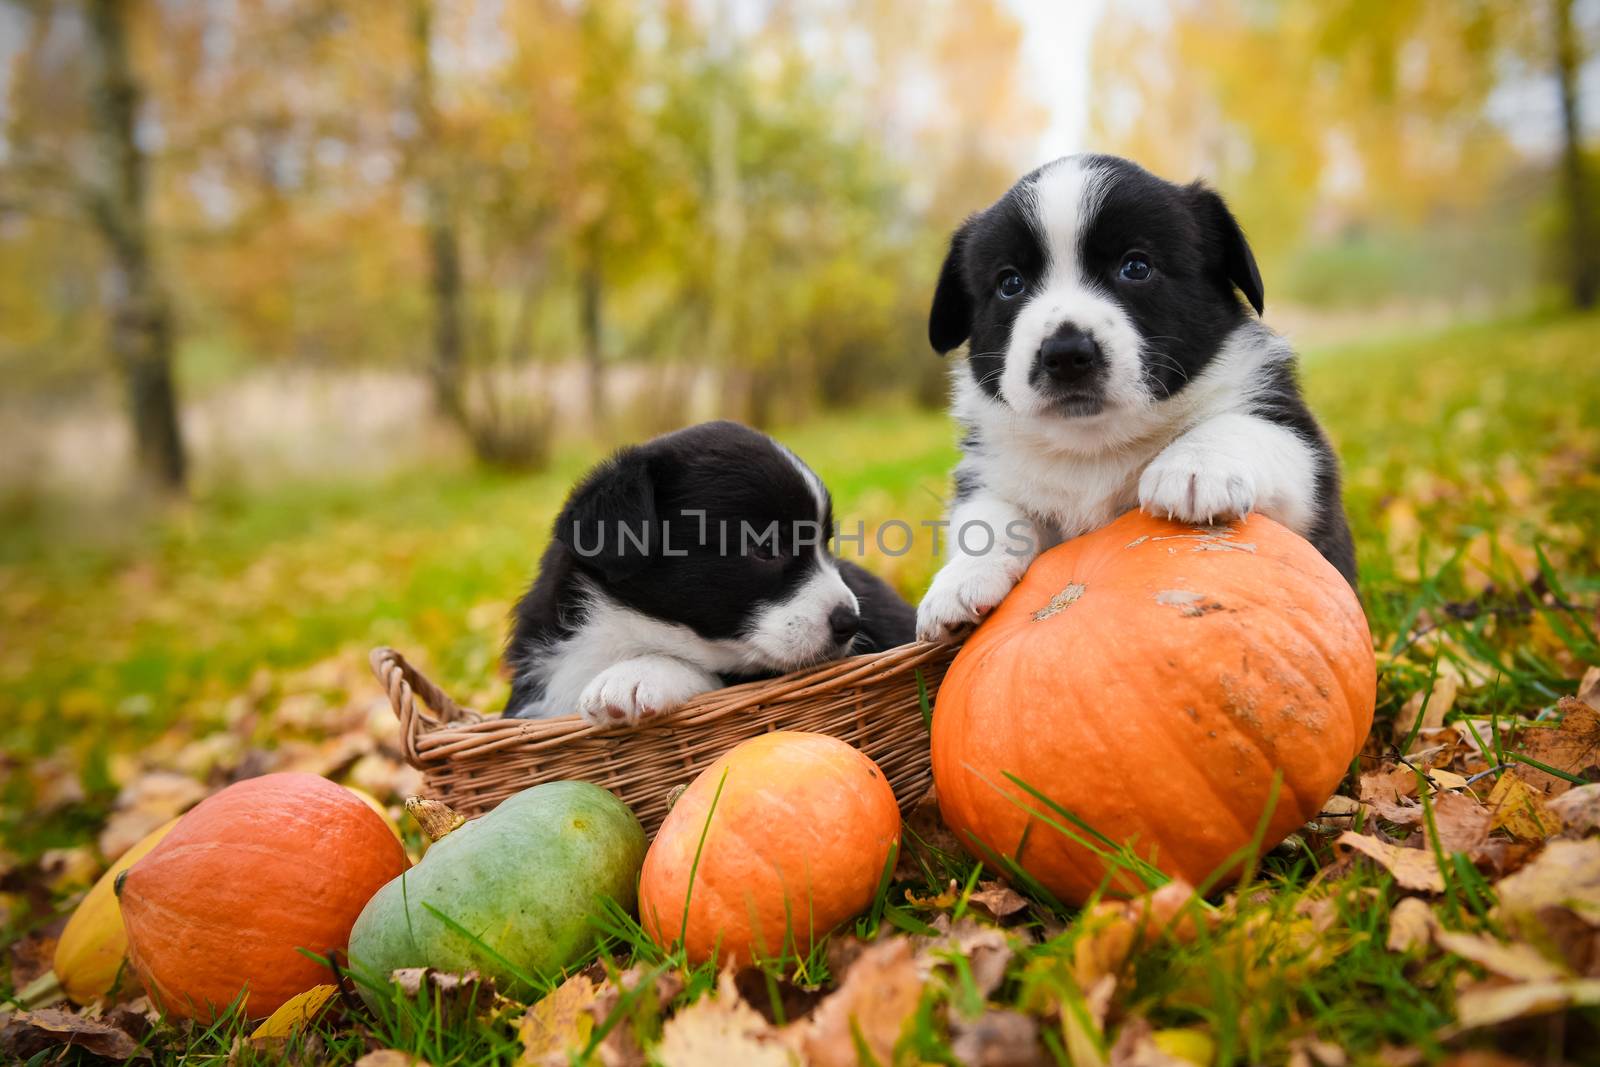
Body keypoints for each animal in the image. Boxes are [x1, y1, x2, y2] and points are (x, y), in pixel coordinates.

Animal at [499, 415, 915, 726]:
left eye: (827, 544)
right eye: (766, 548)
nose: (850, 623)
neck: (617, 634)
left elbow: (721, 672)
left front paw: (634, 676)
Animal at [921, 155, 1356, 643]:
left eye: (1136, 267)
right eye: (1009, 283)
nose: (1066, 354)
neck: (1095, 444)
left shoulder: (1306, 476)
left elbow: (1242, 426)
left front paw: (1193, 468)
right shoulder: (991, 471)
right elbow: (987, 516)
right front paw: (958, 581)